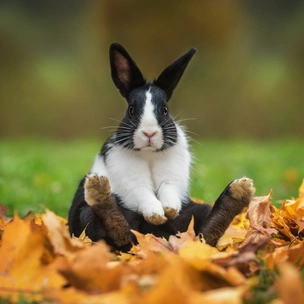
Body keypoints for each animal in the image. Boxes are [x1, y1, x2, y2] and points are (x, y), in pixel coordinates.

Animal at [67, 43, 255, 252]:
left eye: (165, 110)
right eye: (131, 110)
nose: (149, 133)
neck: (149, 154)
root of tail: (158, 236)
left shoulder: (172, 177)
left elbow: (168, 189)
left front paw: (169, 210)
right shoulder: (130, 180)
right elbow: (143, 192)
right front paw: (156, 214)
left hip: (195, 212)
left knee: (205, 235)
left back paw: (237, 193)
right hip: (85, 214)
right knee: (118, 233)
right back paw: (99, 192)